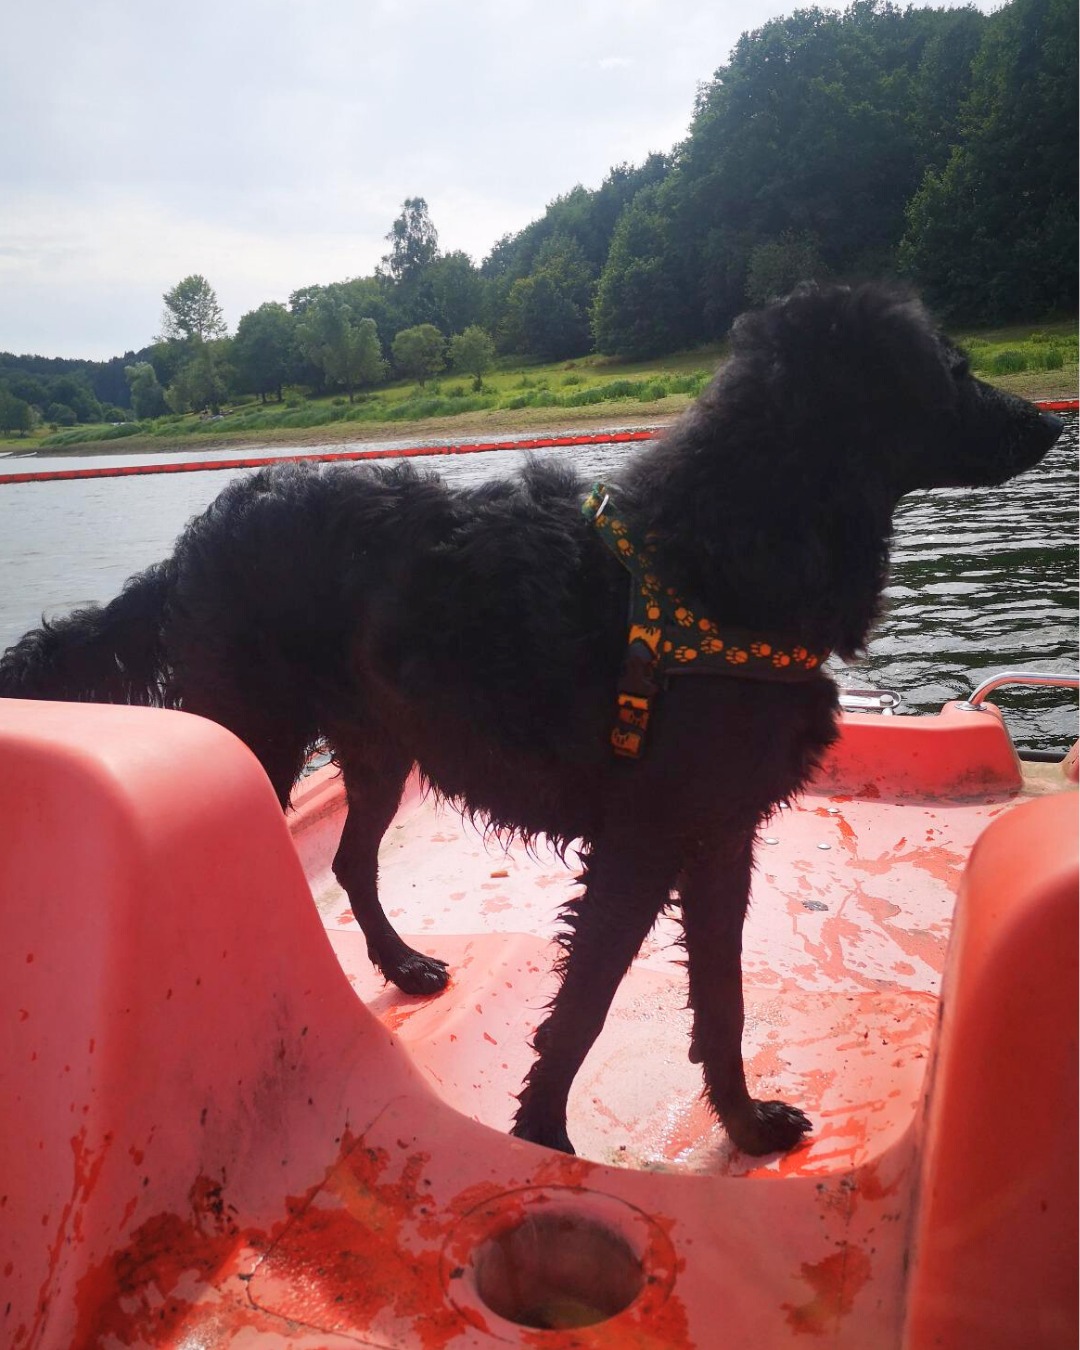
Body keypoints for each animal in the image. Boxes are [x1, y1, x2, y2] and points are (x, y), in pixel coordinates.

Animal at [0, 284, 1061, 1157]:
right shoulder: (643, 843)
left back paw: (401, 965)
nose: (1045, 424)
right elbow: (585, 1007)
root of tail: (190, 544)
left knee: (349, 862)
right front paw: (544, 1137)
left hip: (380, 749)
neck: (727, 549)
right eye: (956, 368)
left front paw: (747, 1128)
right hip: (250, 735)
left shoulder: (722, 838)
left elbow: (721, 1005)